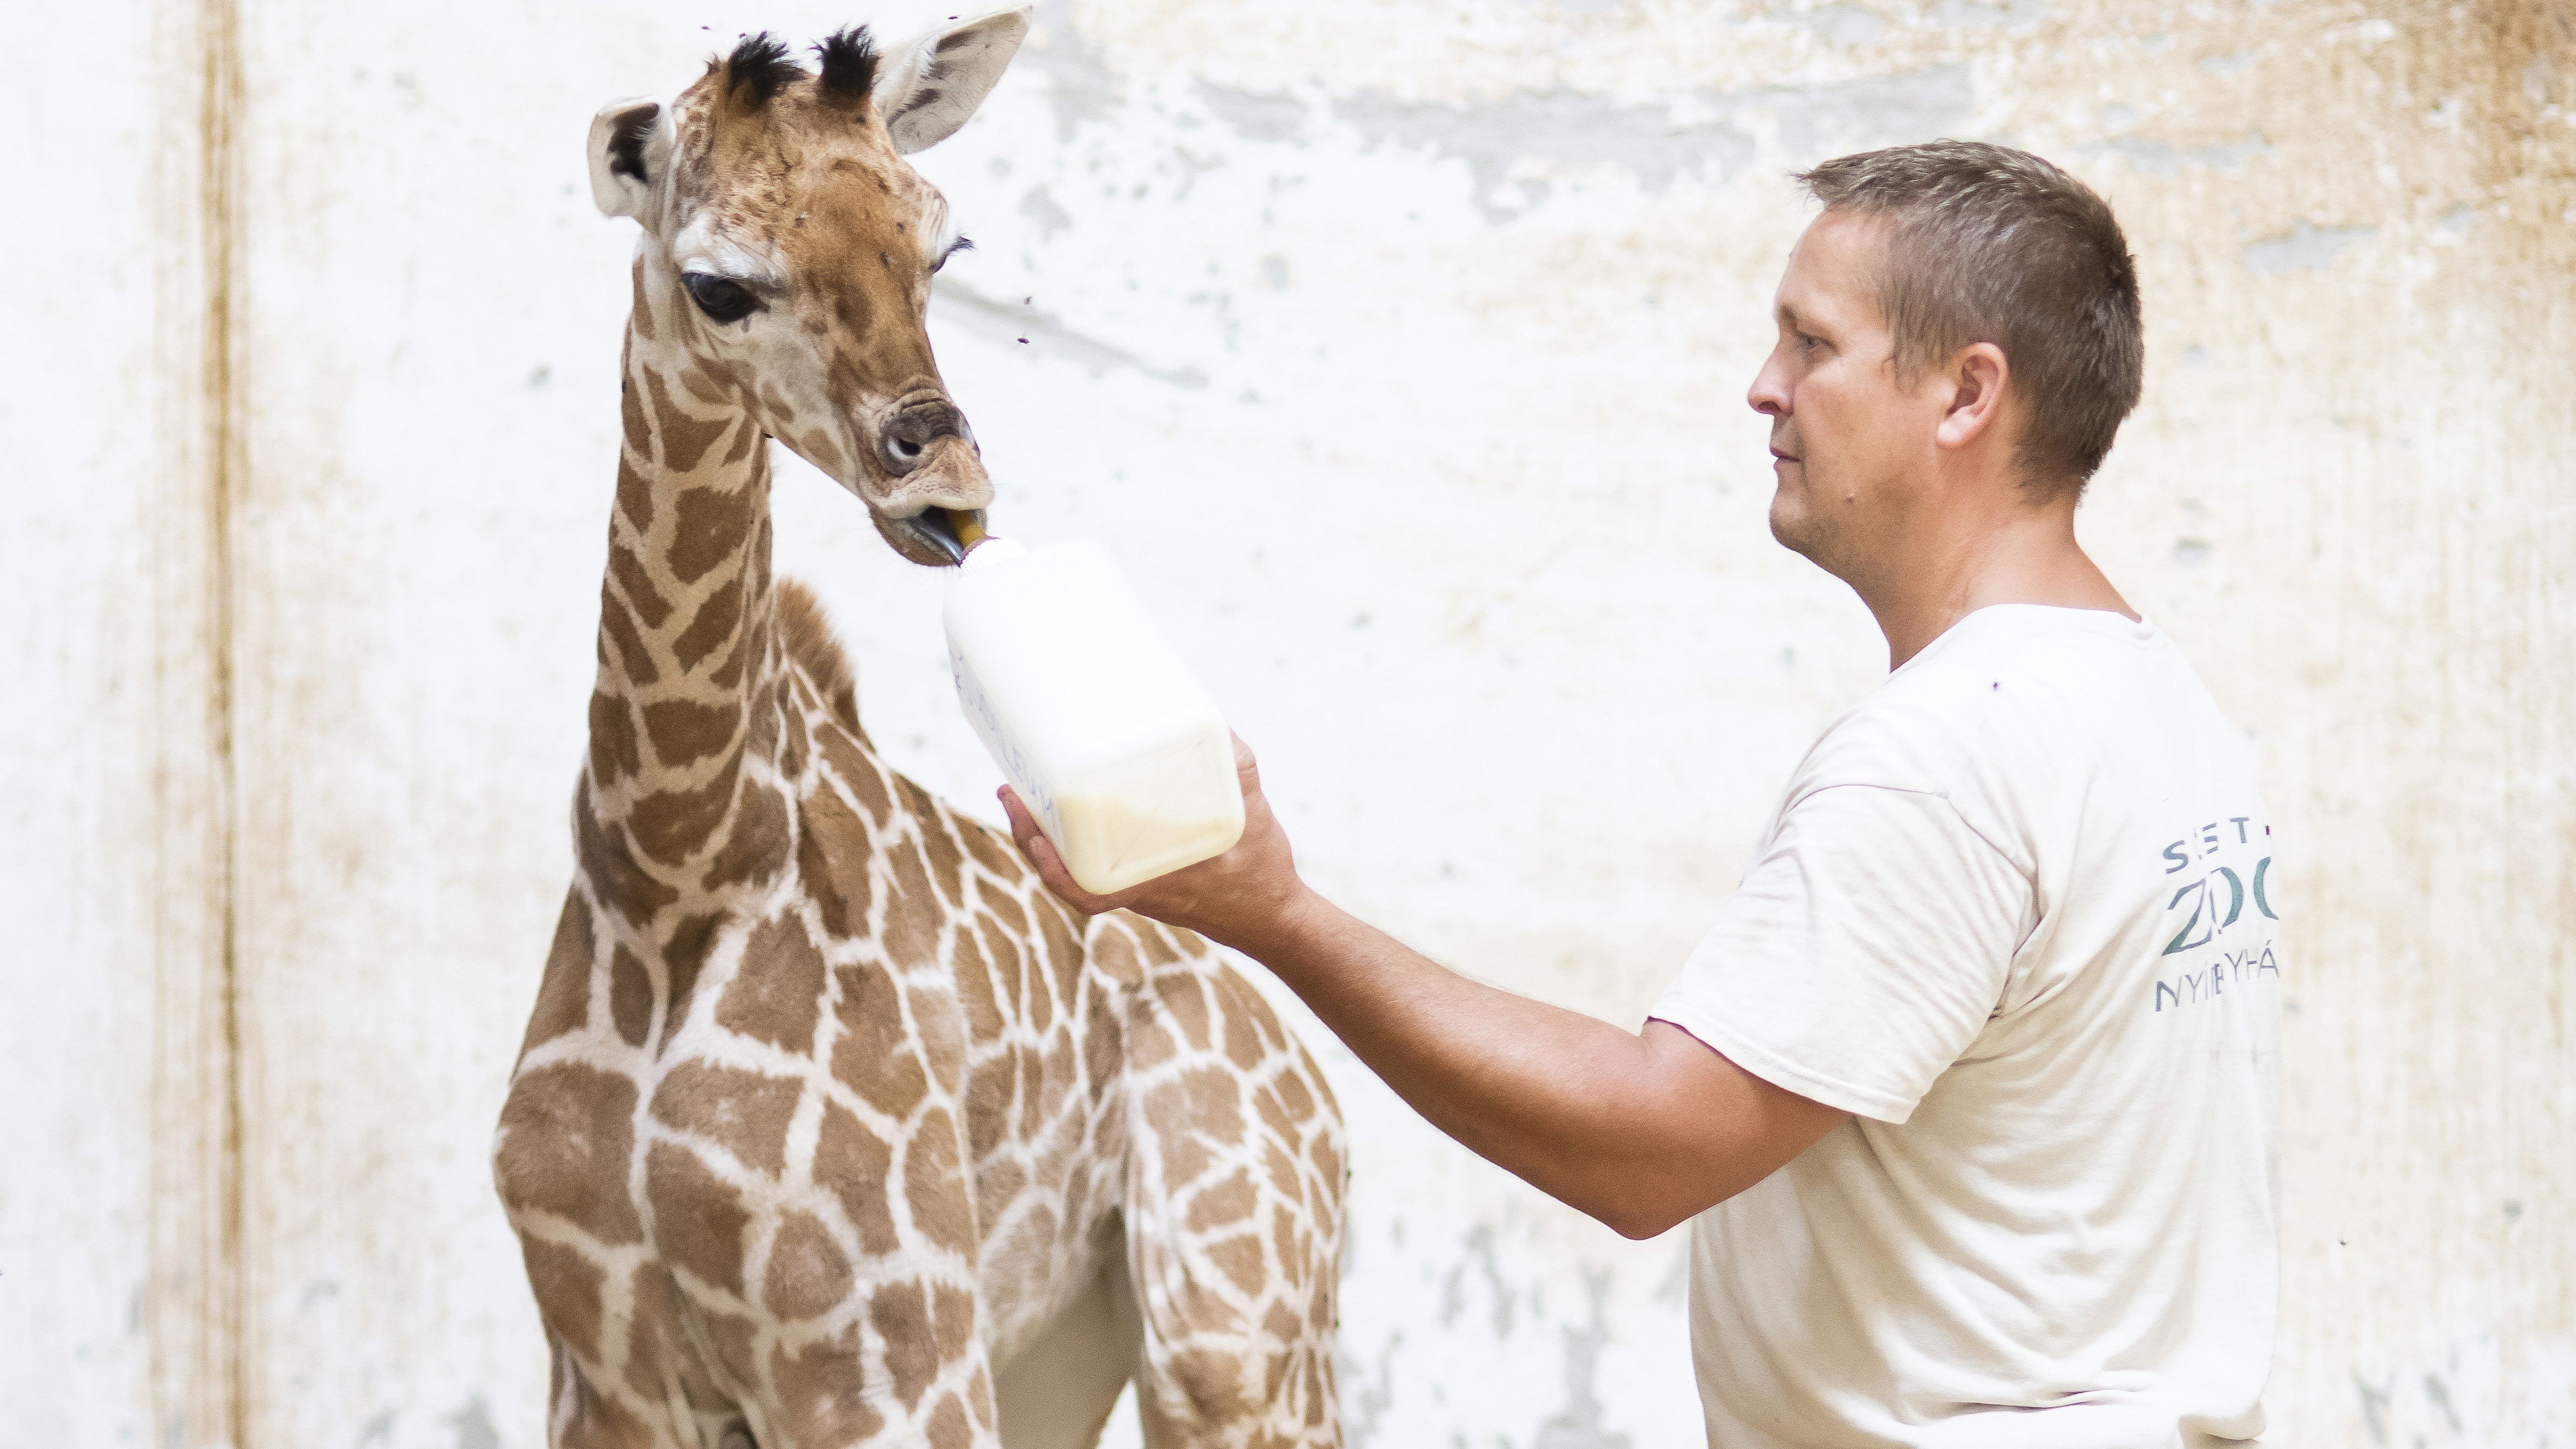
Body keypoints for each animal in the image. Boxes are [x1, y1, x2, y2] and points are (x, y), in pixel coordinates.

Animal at [489, 14, 1360, 1444]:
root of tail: (1313, 1083)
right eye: (717, 286)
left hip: (1234, 1336)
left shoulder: (889, 1348)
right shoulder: (601, 1368)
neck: (677, 866)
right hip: (1061, 1352)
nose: (948, 483)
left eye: (938, 247)